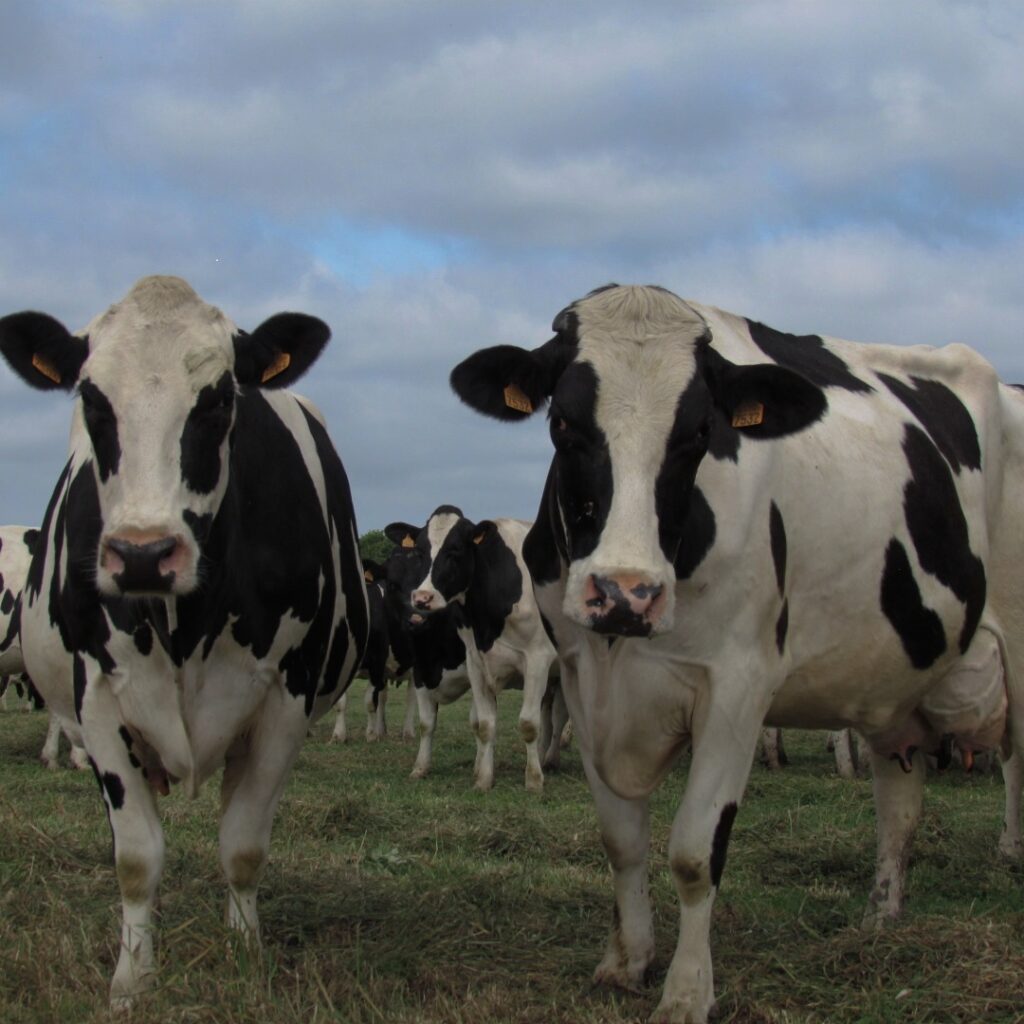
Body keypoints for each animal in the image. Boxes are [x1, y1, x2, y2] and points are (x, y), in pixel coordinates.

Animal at [384, 508, 560, 791]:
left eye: (455, 550)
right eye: (421, 550)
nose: (422, 599)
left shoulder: (538, 659)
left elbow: (528, 724)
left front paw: (533, 781)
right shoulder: (475, 662)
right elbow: (484, 724)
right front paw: (484, 779)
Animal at [450, 283, 1023, 1023]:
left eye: (699, 433)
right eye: (564, 423)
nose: (626, 593)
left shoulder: (737, 686)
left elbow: (696, 853)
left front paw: (687, 992)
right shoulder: (580, 677)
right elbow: (621, 840)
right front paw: (626, 962)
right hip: (894, 684)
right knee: (900, 801)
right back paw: (880, 920)